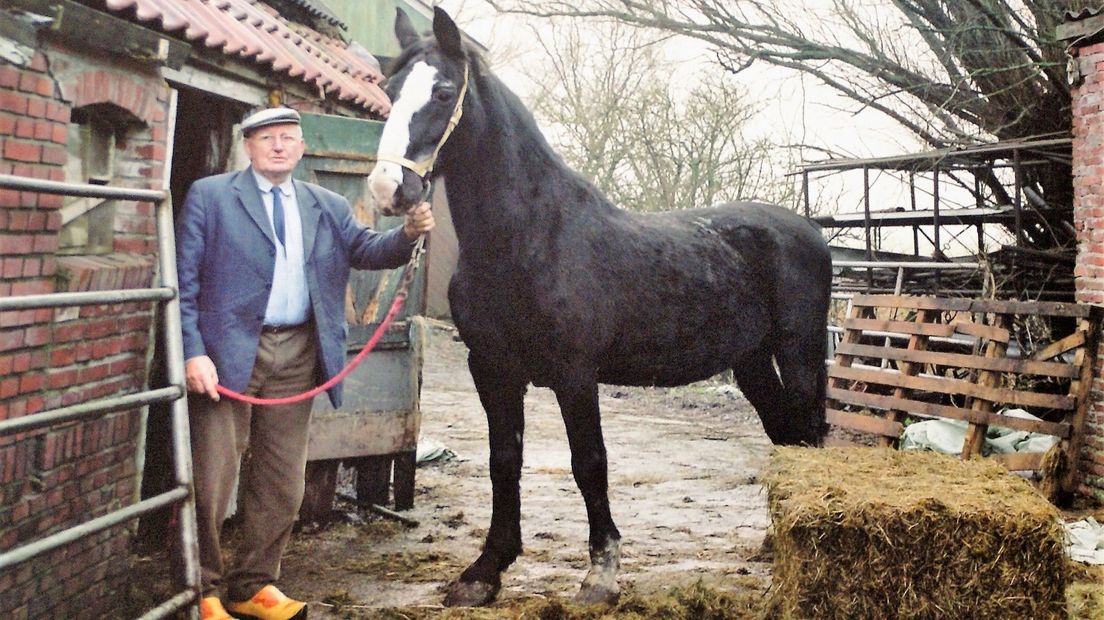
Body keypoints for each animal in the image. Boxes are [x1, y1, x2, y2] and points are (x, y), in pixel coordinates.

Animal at [366, 7, 830, 604]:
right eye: (389, 89)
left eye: (444, 91)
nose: (388, 188)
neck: (531, 238)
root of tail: (809, 231)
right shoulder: (492, 369)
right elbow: (503, 461)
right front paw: (485, 571)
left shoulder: (575, 374)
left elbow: (589, 462)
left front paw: (601, 574)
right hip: (751, 361)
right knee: (784, 435)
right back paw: (776, 546)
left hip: (799, 353)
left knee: (808, 435)